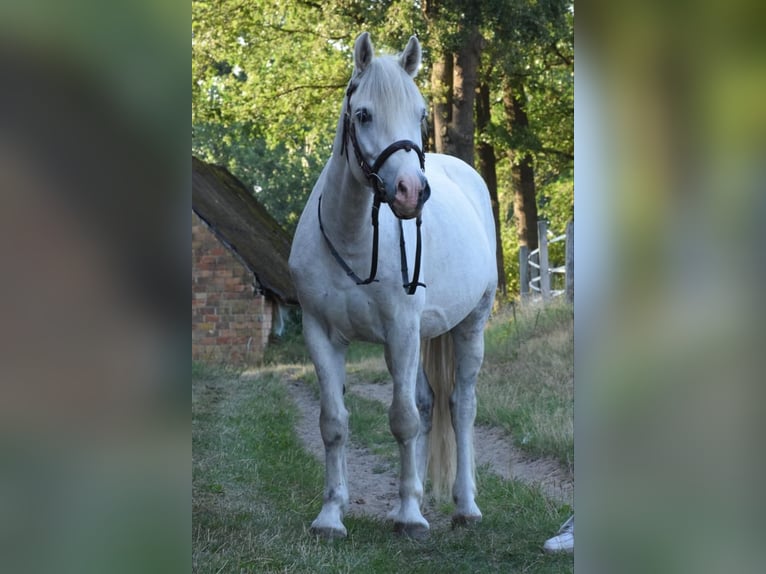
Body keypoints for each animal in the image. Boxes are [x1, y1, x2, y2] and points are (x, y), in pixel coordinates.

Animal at [289, 32, 497, 538]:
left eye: (420, 114)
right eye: (364, 114)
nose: (411, 192)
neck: (352, 237)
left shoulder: (400, 331)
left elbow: (402, 420)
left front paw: (410, 516)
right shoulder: (321, 334)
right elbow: (334, 423)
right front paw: (331, 516)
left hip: (470, 326)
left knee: (460, 408)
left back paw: (464, 506)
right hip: (425, 336)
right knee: (426, 403)